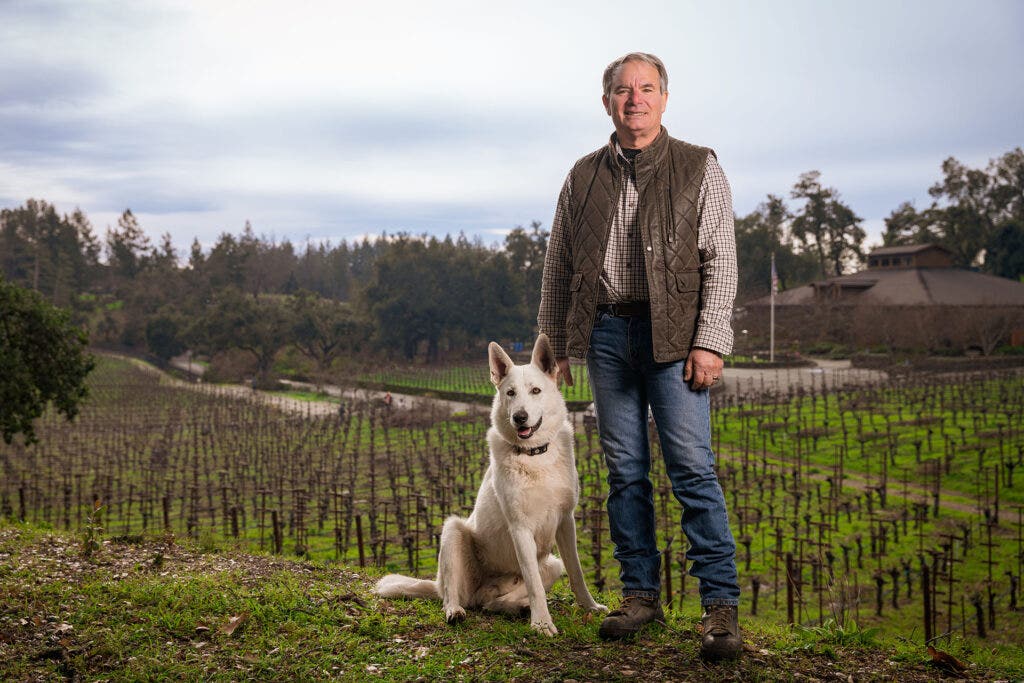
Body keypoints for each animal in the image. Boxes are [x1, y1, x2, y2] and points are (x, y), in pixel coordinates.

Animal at [374, 333, 602, 634]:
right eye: (510, 393)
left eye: (536, 391)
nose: (519, 417)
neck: (534, 456)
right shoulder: (520, 528)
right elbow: (535, 584)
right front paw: (542, 623)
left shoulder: (566, 521)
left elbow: (576, 572)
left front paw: (589, 607)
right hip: (453, 532)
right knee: (453, 594)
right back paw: (456, 610)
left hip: (551, 565)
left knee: (495, 603)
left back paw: (515, 606)